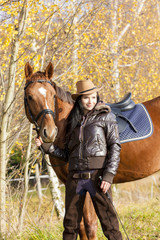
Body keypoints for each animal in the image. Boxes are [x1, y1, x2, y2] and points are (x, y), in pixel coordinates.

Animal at [24, 62, 160, 240]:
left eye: (52, 95)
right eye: (30, 96)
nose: (50, 132)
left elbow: (90, 225)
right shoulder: (71, 184)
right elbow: (80, 226)